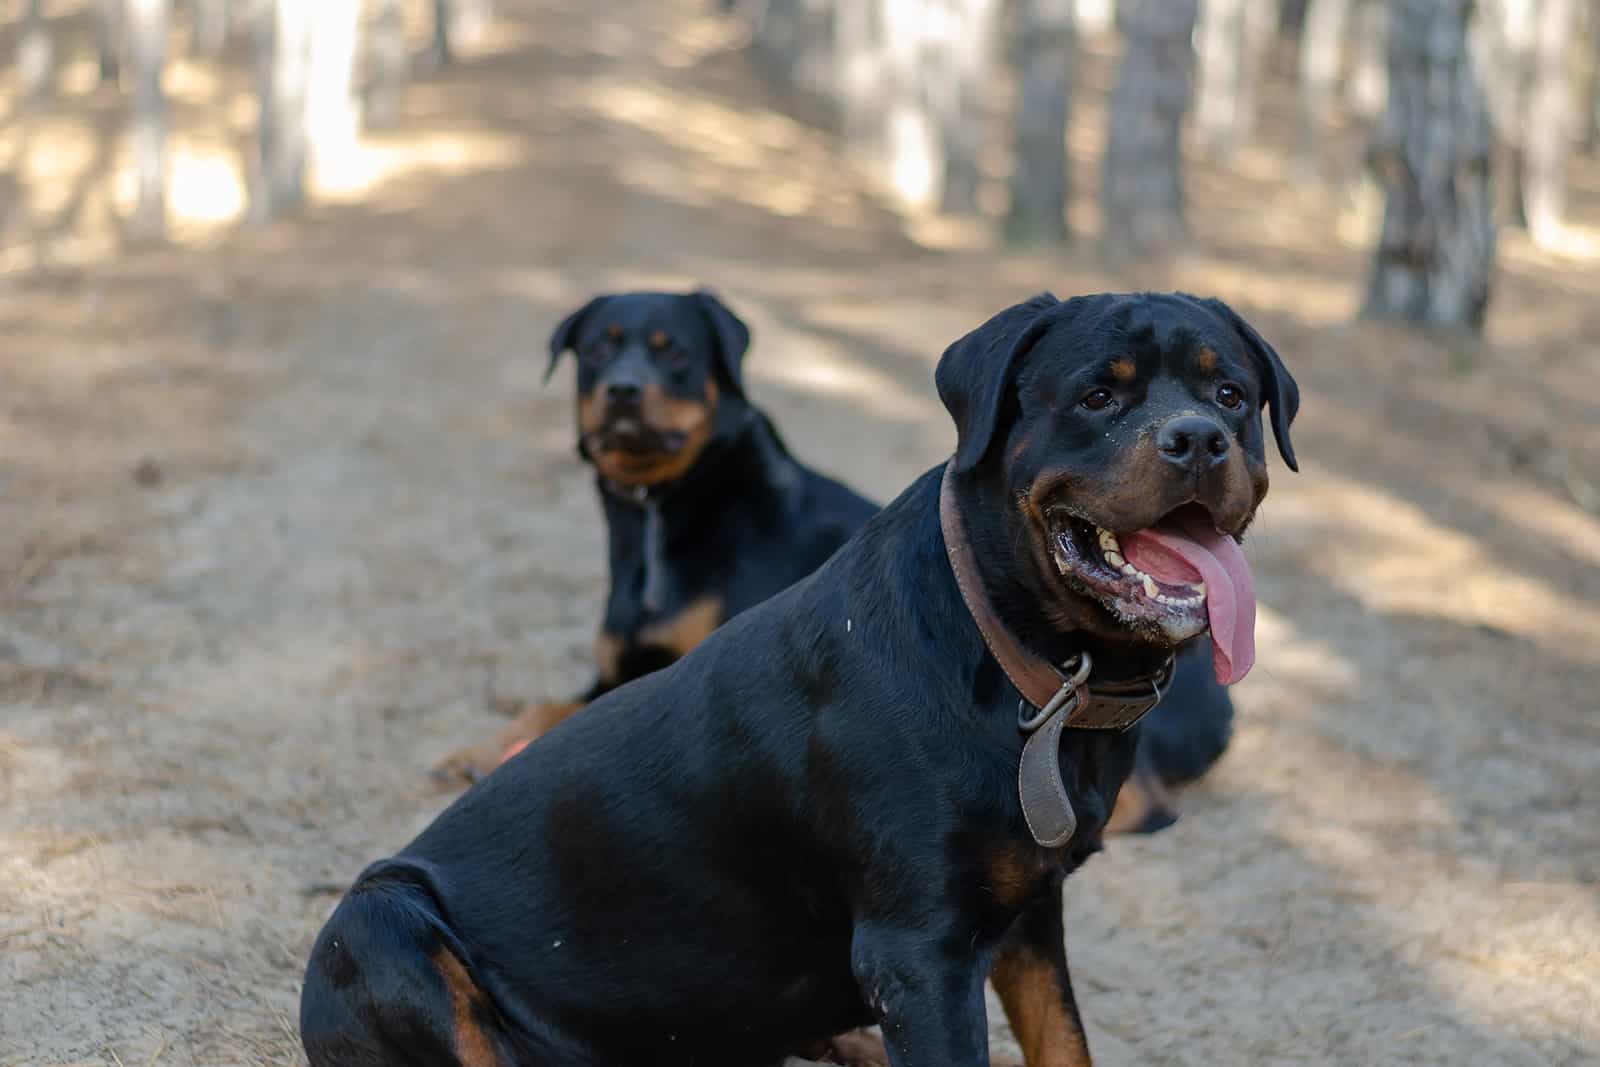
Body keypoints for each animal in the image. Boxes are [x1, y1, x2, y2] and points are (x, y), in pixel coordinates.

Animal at [435, 292, 876, 783]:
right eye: (596, 349)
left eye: (675, 353)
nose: (623, 390)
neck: (655, 509)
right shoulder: (612, 678)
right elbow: (545, 710)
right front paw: (477, 753)